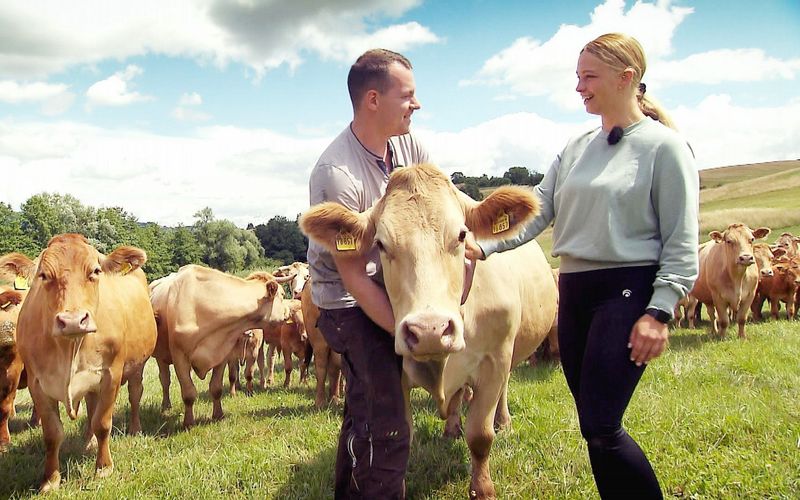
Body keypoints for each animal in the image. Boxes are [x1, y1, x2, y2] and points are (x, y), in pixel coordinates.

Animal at [10, 235, 155, 492]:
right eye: (43, 275)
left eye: (95, 271)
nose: (73, 320)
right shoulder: (38, 384)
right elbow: (52, 433)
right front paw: (50, 479)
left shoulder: (111, 374)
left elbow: (103, 423)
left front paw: (104, 468)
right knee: (90, 406)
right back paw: (88, 442)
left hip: (138, 365)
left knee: (135, 395)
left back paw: (135, 429)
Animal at [148, 264, 292, 428]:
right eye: (282, 294)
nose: (288, 312)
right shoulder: (180, 358)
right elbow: (188, 393)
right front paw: (189, 422)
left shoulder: (221, 353)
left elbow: (216, 388)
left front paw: (218, 415)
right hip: (161, 357)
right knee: (165, 380)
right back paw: (166, 406)